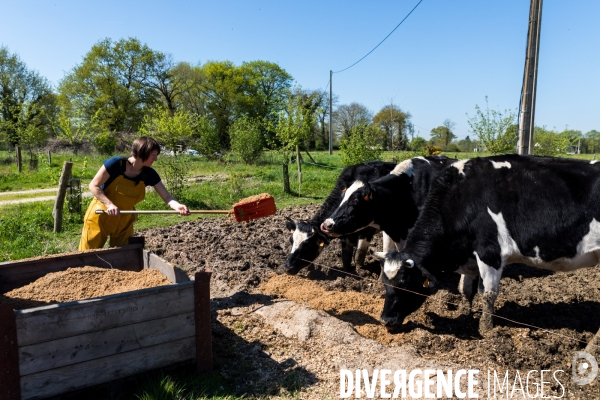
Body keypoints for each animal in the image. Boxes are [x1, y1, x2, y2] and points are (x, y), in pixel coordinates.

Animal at [378, 155, 600, 336]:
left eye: (406, 284)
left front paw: (486, 329)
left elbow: (488, 294)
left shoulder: (490, 251)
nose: (386, 320)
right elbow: (465, 289)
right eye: (385, 283)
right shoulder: (470, 254)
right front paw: (465, 313)